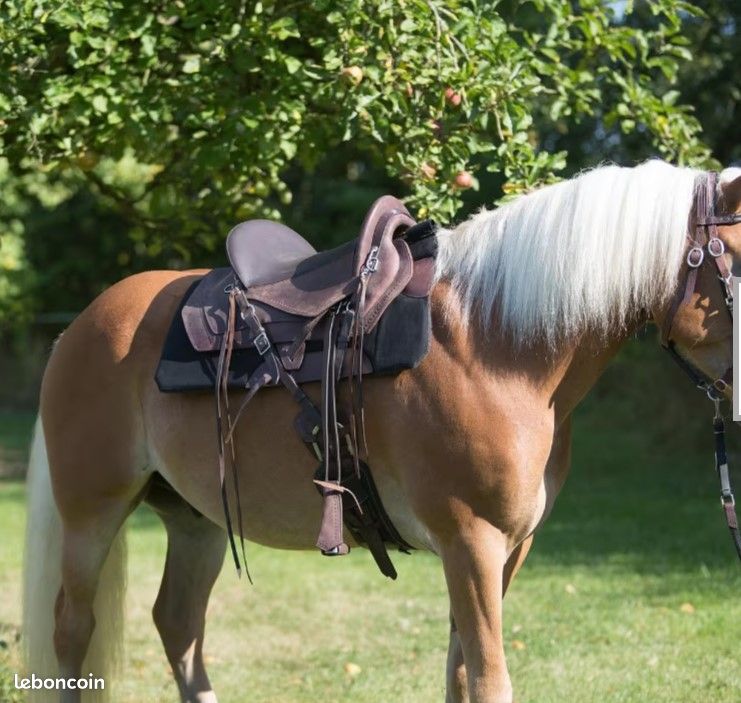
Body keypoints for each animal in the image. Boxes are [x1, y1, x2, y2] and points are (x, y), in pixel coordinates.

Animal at [22, 160, 741, 703]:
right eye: (734, 257)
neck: (496, 345)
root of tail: (77, 327)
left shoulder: (509, 547)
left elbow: (459, 675)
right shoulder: (470, 541)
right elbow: (488, 680)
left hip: (195, 519)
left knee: (177, 622)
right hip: (92, 512)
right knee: (72, 628)